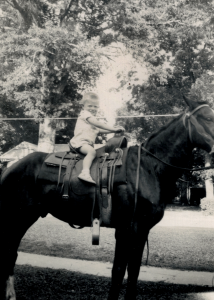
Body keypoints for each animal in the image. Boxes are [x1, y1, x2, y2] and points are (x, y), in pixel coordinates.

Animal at [0, 96, 214, 300]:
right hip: (19, 216)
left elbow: (134, 271)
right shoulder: (127, 228)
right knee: (10, 251)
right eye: (208, 118)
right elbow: (118, 271)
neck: (147, 167)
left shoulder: (142, 230)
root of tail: (10, 167)